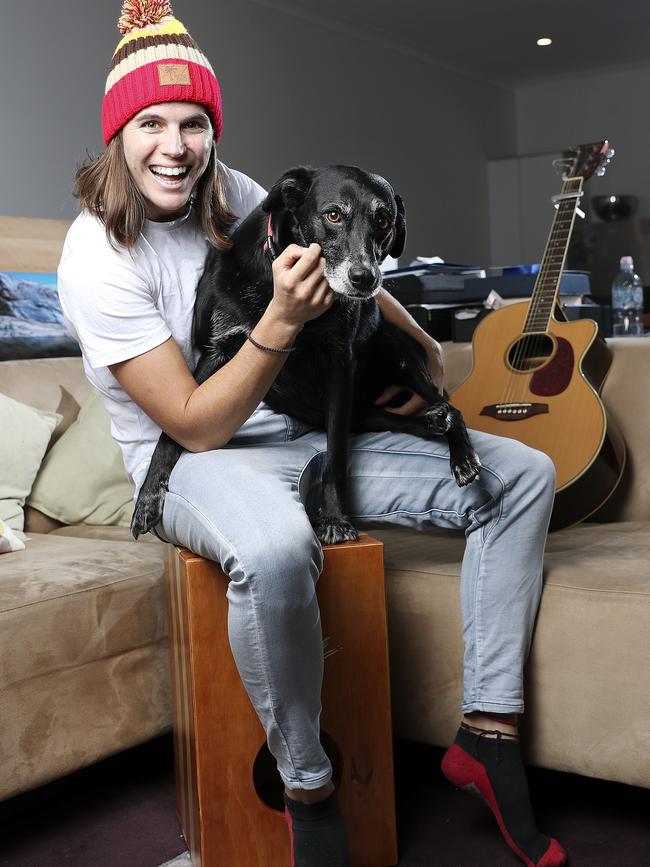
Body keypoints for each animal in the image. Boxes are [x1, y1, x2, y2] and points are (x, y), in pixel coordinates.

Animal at [129, 164, 478, 544]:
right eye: (334, 215)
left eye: (384, 221)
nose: (365, 279)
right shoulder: (214, 354)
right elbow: (171, 434)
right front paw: (147, 498)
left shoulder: (339, 366)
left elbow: (336, 456)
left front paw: (335, 518)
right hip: (364, 410)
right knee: (411, 417)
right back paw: (432, 422)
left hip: (403, 362)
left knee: (452, 409)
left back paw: (463, 456)